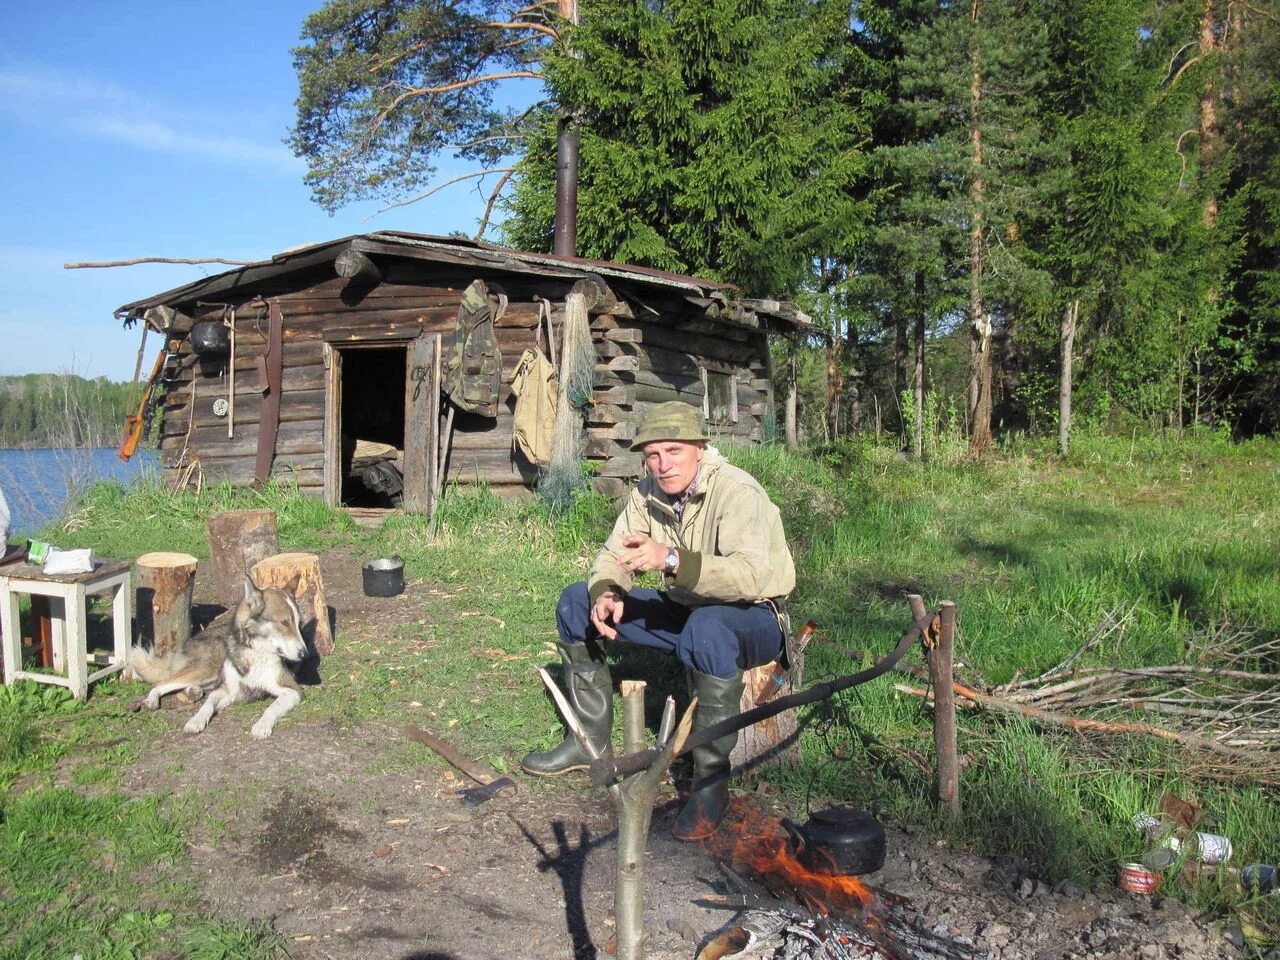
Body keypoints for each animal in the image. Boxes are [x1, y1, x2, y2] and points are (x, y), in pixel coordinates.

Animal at [128, 576, 309, 742]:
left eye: (298, 624)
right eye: (284, 623)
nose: (305, 654)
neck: (256, 653)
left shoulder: (292, 690)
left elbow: (272, 707)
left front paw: (261, 726)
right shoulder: (228, 689)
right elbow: (209, 702)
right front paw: (196, 721)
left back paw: (193, 692)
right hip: (207, 669)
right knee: (160, 683)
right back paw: (152, 700)